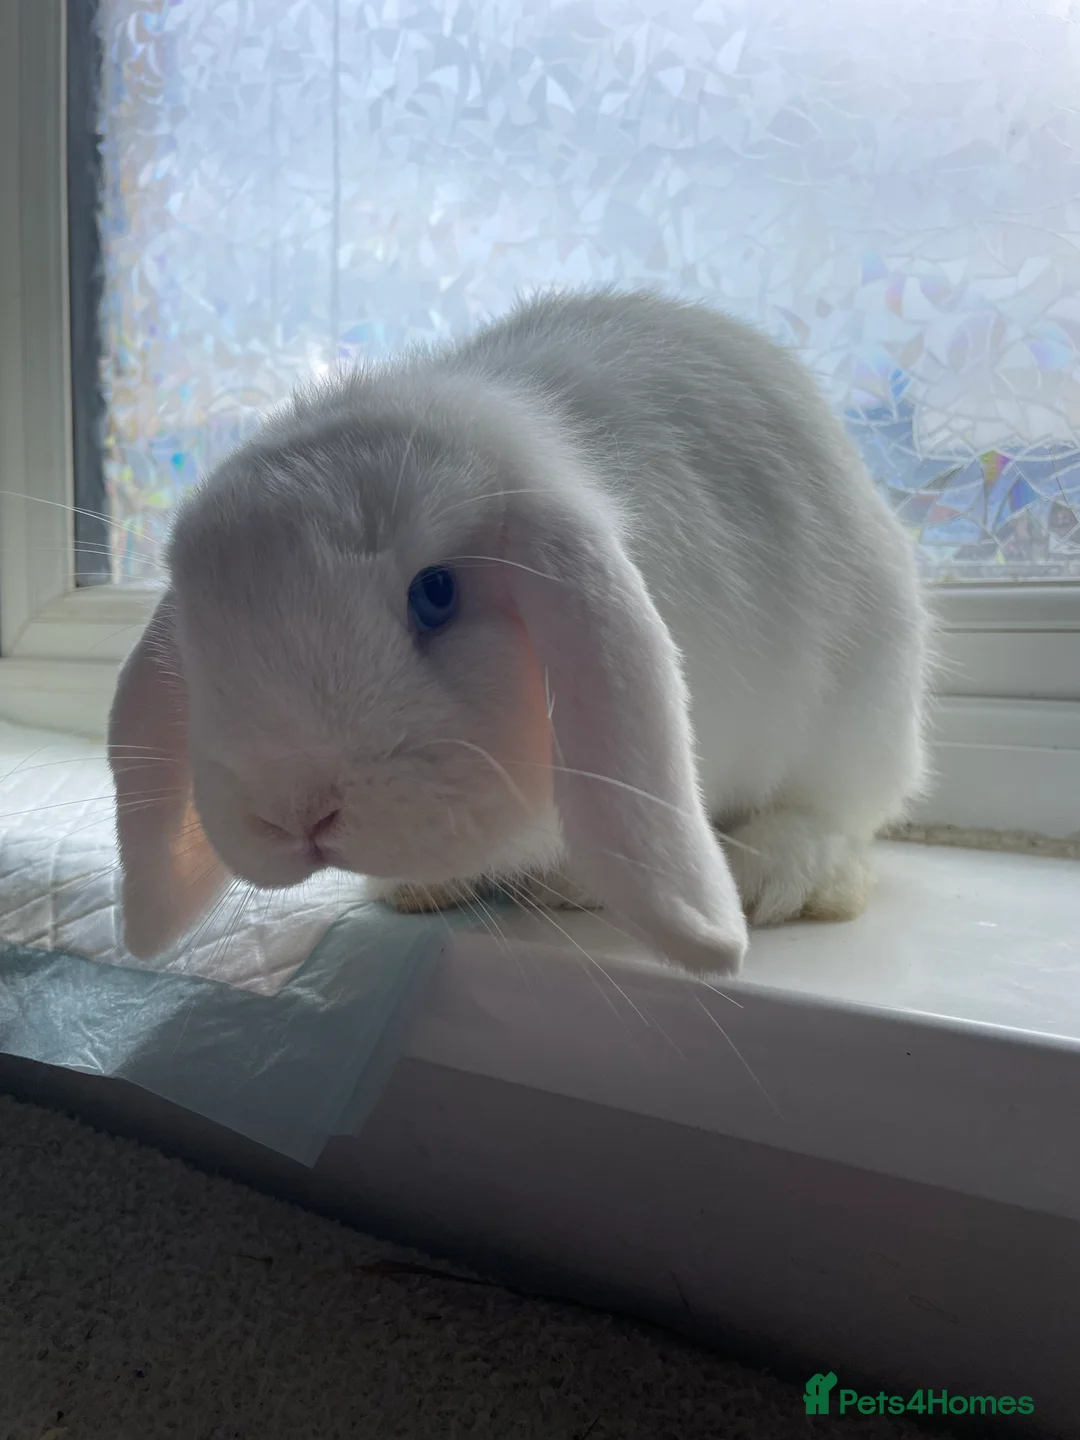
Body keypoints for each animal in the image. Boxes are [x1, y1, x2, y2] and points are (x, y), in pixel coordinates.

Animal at [109, 288, 929, 979]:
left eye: (435, 594)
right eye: (198, 639)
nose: (295, 813)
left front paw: (568, 887)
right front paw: (419, 888)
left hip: (862, 711)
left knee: (838, 818)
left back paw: (769, 875)